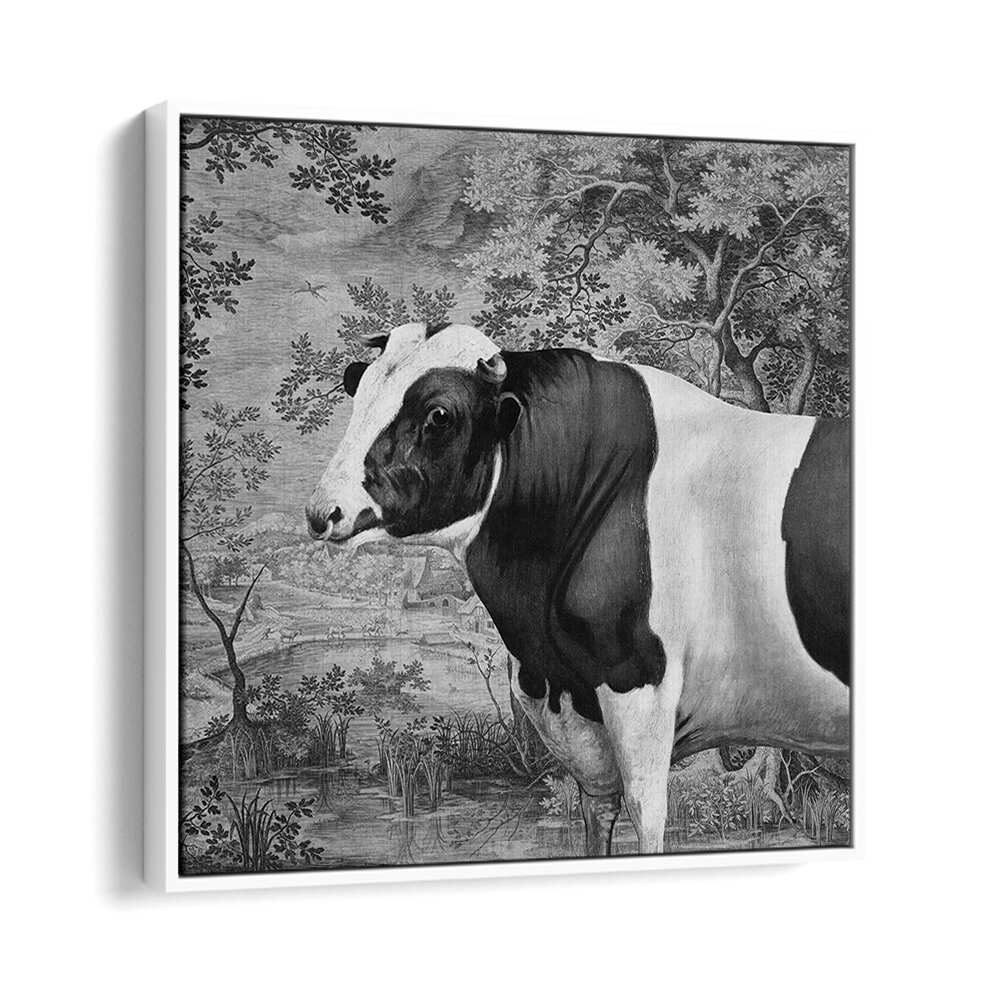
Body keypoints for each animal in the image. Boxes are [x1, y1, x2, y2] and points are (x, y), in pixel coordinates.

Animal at [306, 322, 850, 856]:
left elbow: (647, 817)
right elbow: (598, 812)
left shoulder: (640, 684)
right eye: (358, 386)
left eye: (438, 415)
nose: (321, 510)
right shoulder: (573, 710)